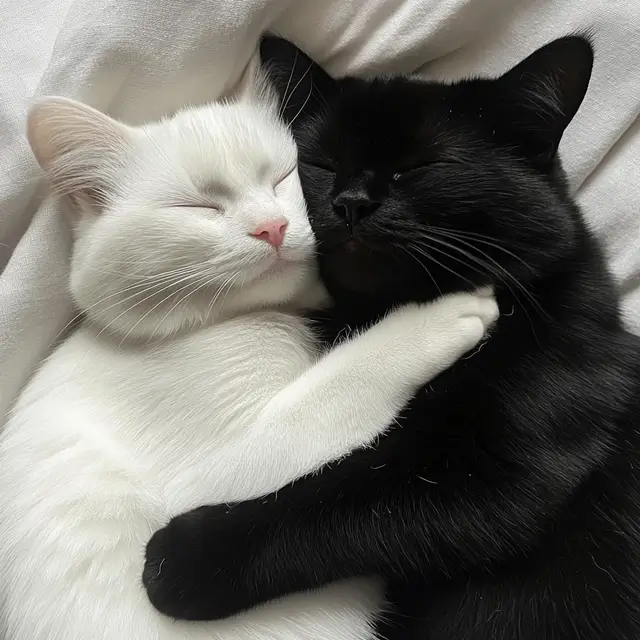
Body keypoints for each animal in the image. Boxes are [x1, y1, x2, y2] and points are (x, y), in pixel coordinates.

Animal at [0, 61, 500, 640]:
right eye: (198, 205)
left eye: (282, 177)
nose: (272, 226)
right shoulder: (205, 480)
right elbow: (333, 390)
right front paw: (435, 319)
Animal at [141, 36, 640, 640]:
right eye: (322, 163)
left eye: (419, 167)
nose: (352, 201)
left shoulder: (492, 475)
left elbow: (332, 503)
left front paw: (186, 560)